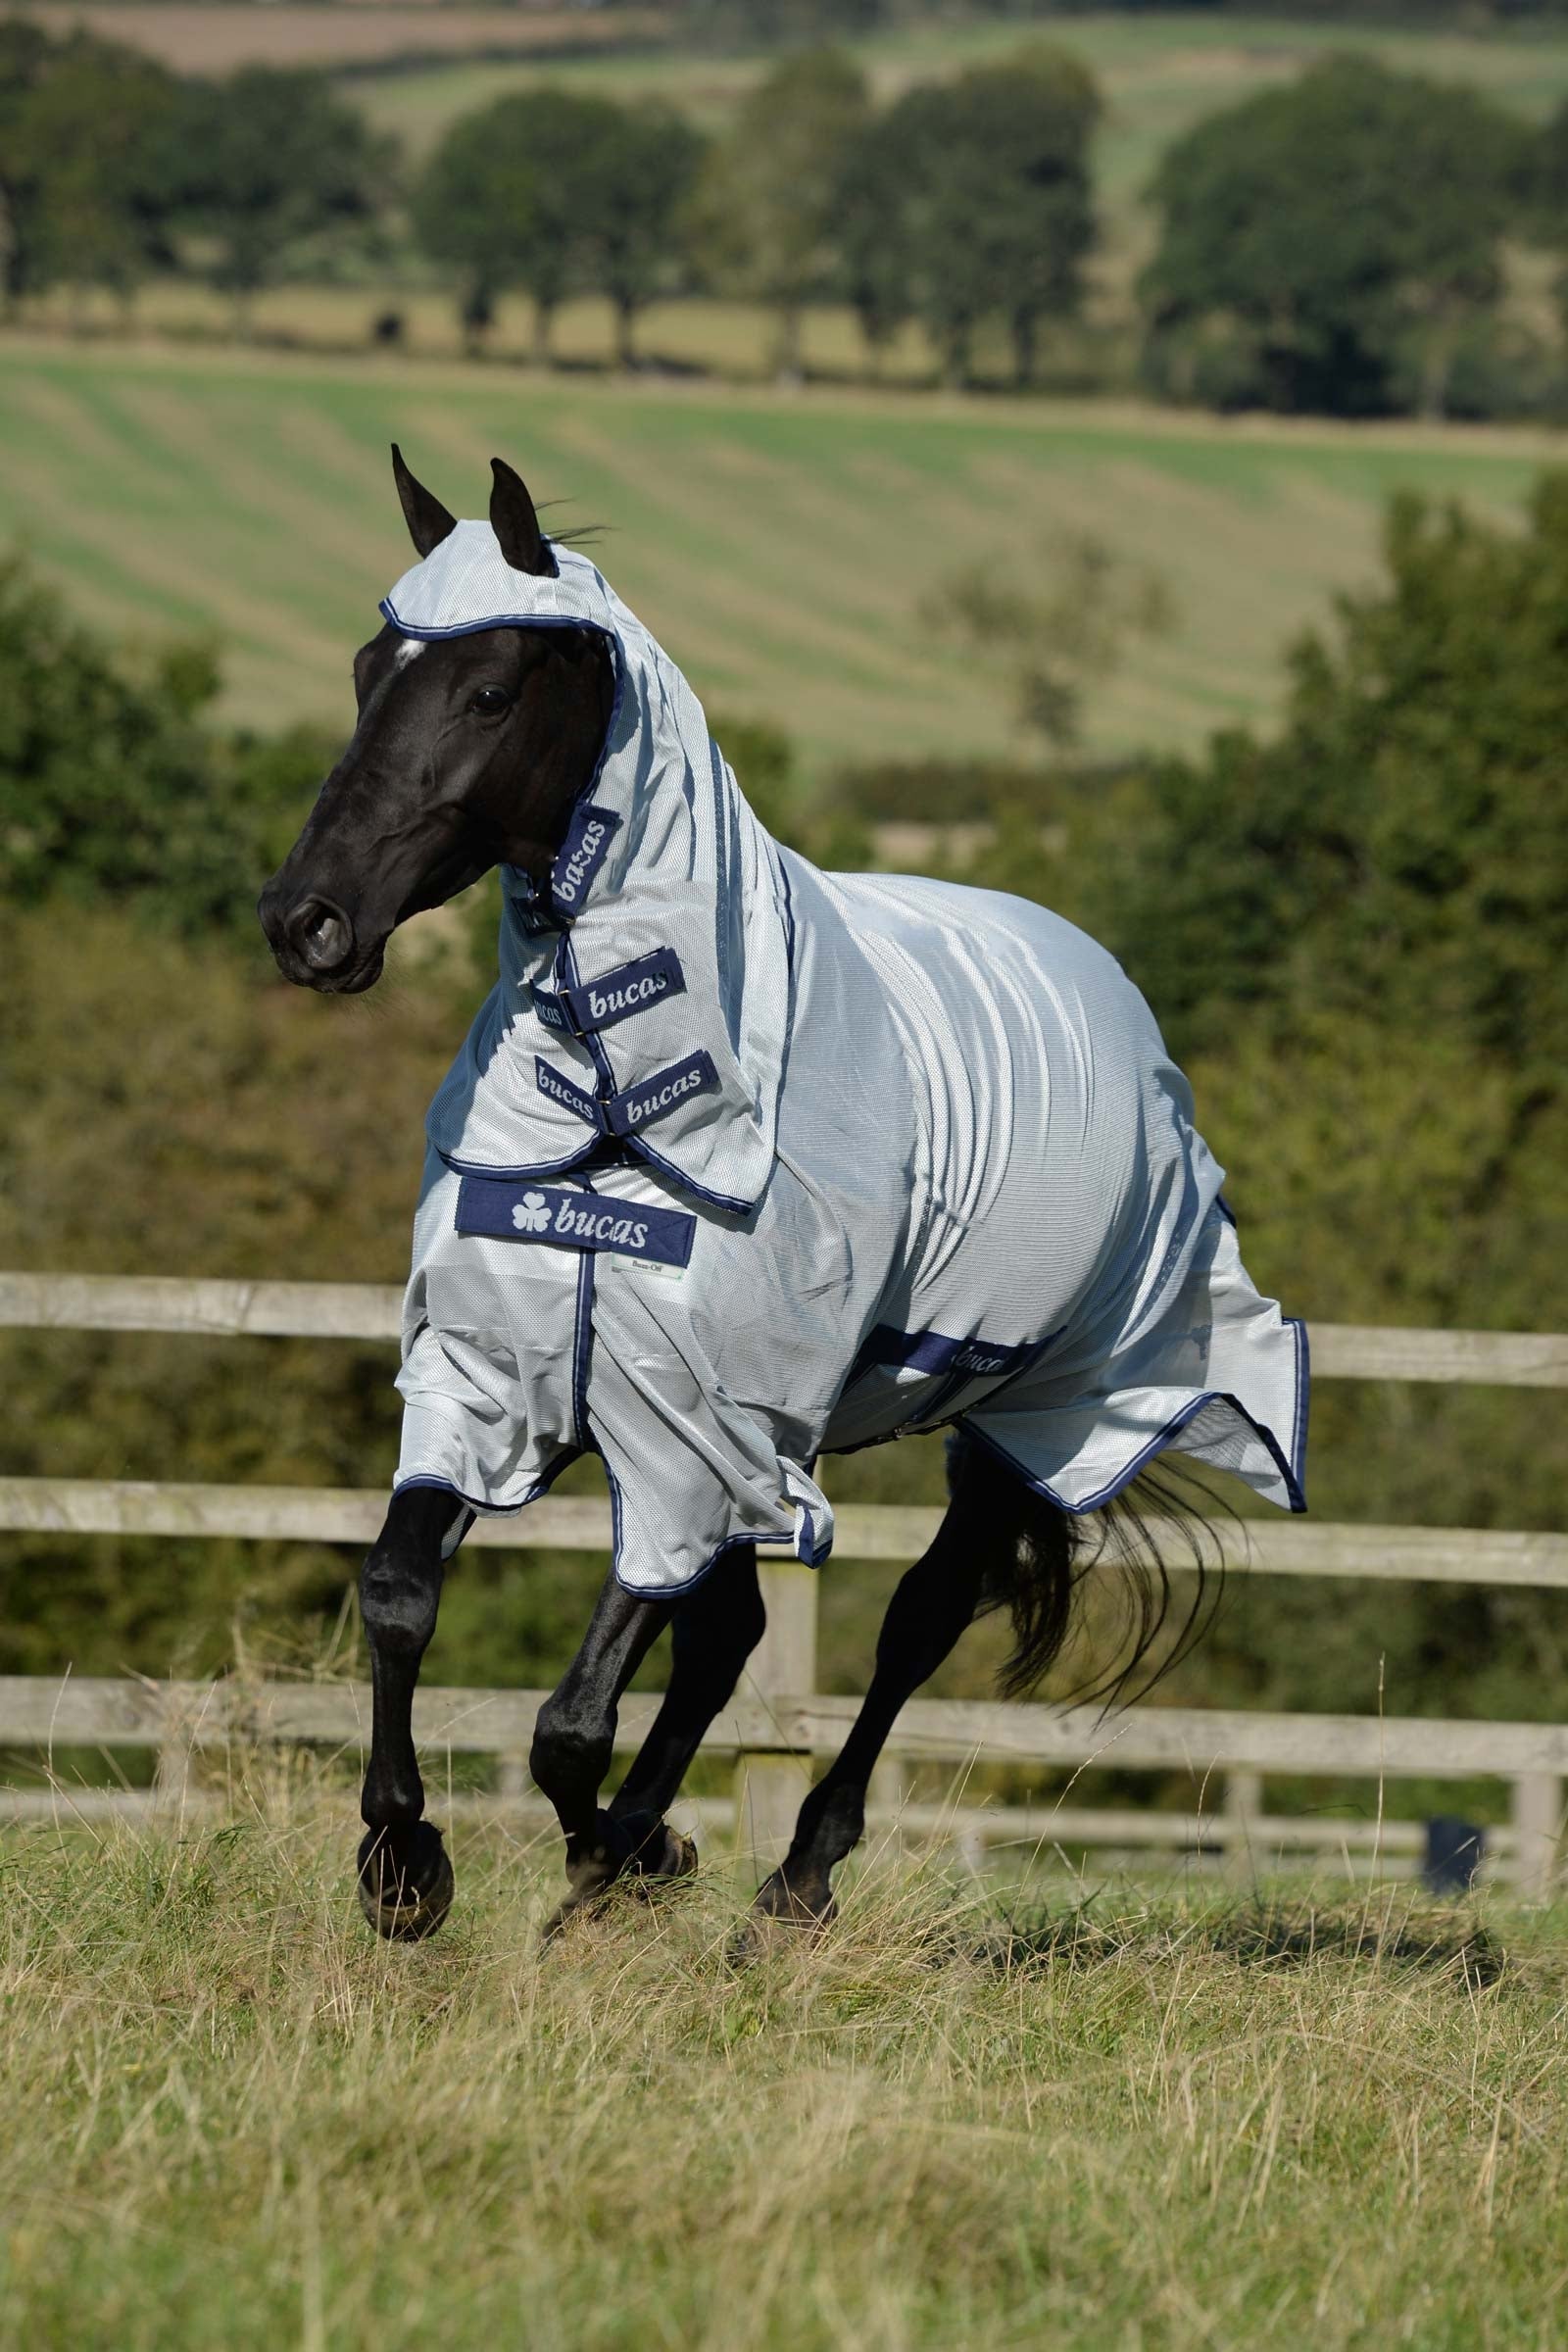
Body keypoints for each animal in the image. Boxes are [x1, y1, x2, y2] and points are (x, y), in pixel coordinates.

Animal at [259, 450, 1307, 1945]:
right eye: (366, 668)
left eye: (489, 691)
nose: (309, 923)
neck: (622, 1113)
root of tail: (1111, 992)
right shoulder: (518, 1381)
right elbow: (404, 1596)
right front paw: (410, 1861)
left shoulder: (696, 1437)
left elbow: (569, 1722)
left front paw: (622, 1857)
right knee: (729, 1639)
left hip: (1012, 1419)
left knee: (914, 1622)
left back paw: (793, 1877)